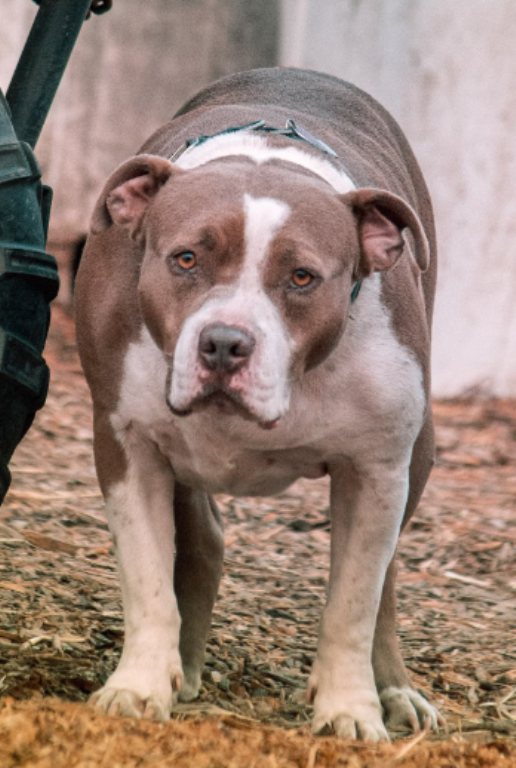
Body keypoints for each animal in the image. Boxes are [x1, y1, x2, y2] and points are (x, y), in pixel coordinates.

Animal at [74, 69, 442, 740]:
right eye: (185, 259)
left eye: (302, 277)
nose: (224, 343)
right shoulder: (127, 444)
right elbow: (147, 579)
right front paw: (139, 686)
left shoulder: (376, 468)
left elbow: (354, 602)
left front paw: (349, 711)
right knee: (201, 537)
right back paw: (186, 665)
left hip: (416, 457)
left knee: (385, 582)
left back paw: (395, 690)